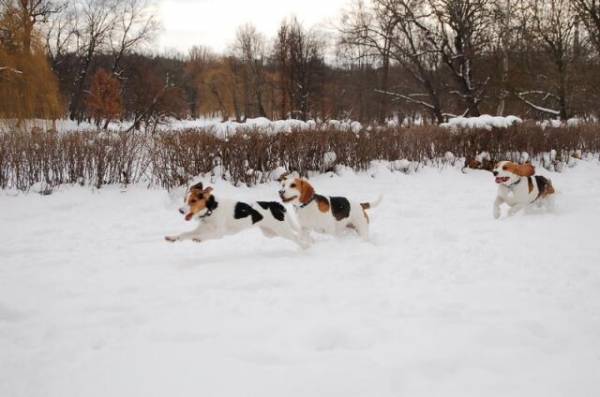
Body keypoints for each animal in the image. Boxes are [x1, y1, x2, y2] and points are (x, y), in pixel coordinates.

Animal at [165, 182, 308, 248]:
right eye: (185, 199)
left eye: (193, 201)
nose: (180, 210)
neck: (211, 209)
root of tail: (276, 204)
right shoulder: (201, 228)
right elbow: (185, 234)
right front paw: (173, 238)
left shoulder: (218, 233)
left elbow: (202, 236)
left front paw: (198, 239)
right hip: (271, 233)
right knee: (296, 237)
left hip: (282, 229)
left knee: (297, 238)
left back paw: (306, 248)